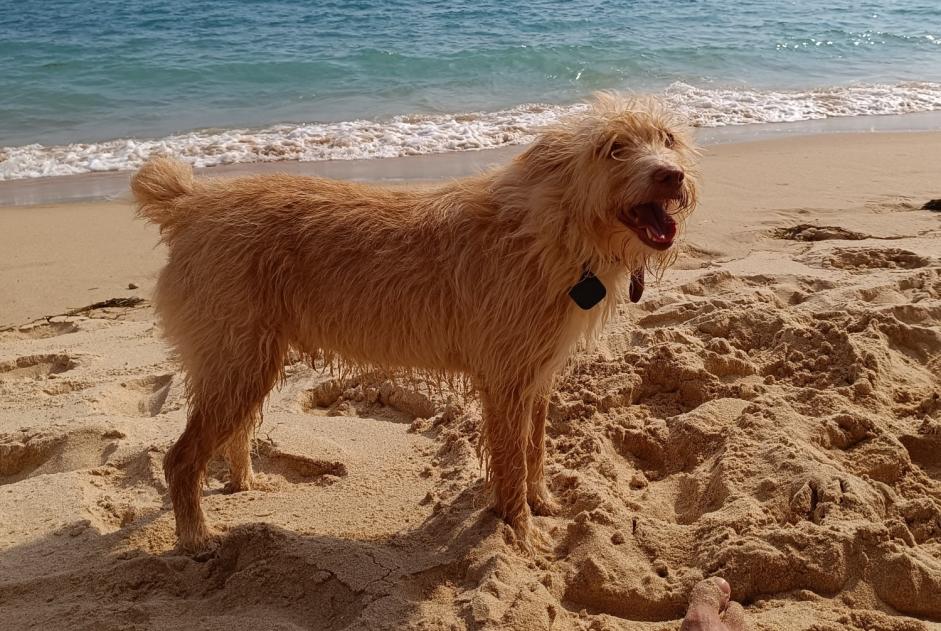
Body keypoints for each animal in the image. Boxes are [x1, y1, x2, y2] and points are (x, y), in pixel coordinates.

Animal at [136, 94, 700, 552]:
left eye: (666, 139)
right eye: (613, 148)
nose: (671, 175)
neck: (552, 228)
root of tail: (191, 203)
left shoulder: (535, 378)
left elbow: (534, 449)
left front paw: (542, 505)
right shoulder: (507, 382)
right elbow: (513, 460)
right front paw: (521, 531)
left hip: (249, 364)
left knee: (231, 434)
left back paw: (246, 484)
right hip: (238, 362)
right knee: (180, 459)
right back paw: (197, 537)